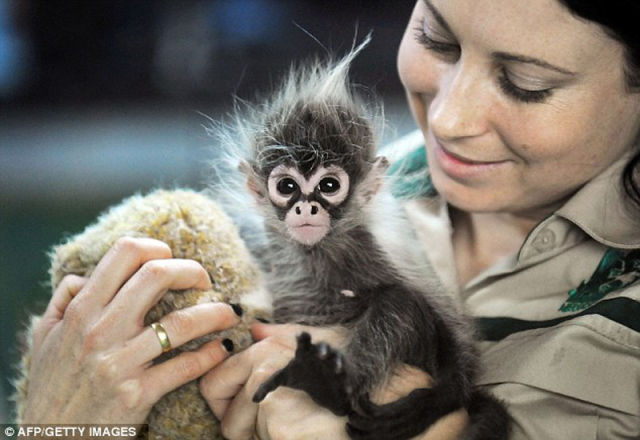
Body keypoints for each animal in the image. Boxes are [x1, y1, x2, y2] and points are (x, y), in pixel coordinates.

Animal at [216, 39, 512, 440]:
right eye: (287, 187)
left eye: (328, 186)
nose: (306, 208)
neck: (318, 250)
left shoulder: (372, 247)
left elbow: (448, 333)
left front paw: (437, 401)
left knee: (398, 302)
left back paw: (325, 384)